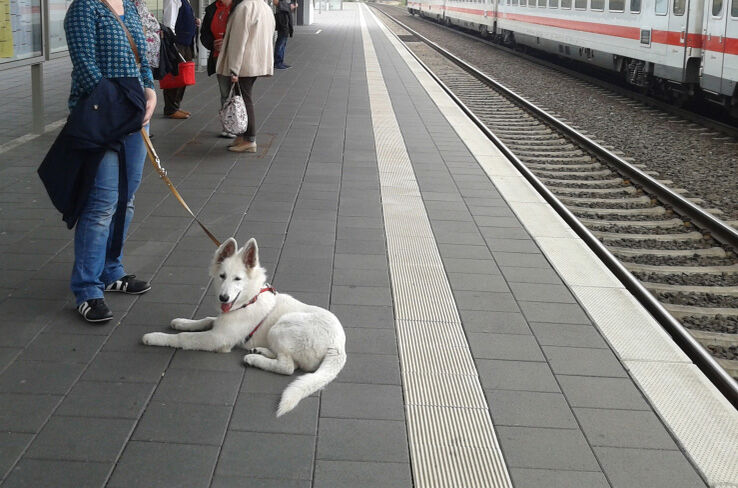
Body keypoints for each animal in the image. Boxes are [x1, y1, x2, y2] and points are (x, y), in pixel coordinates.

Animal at [145, 236, 350, 416]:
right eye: (222, 276)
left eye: (237, 279)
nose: (223, 298)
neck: (248, 299)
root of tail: (338, 347)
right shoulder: (220, 324)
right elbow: (206, 319)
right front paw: (182, 322)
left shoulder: (217, 338)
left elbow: (183, 338)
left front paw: (155, 337)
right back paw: (260, 351)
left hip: (281, 326)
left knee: (287, 367)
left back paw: (254, 359)